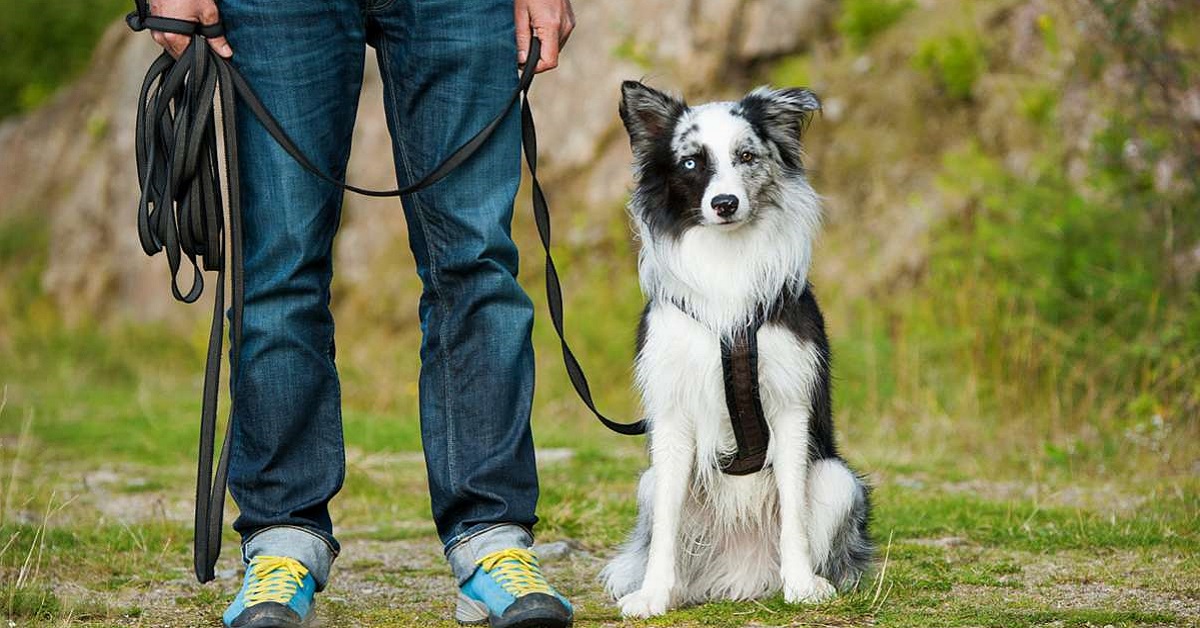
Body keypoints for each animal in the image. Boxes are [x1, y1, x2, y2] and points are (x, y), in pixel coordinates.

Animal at [600, 79, 873, 619]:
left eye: (746, 156)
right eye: (690, 162)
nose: (724, 203)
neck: (726, 261)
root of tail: (741, 572)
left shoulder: (790, 406)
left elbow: (793, 511)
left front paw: (801, 585)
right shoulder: (673, 413)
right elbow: (666, 528)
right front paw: (654, 595)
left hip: (838, 480)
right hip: (649, 483)